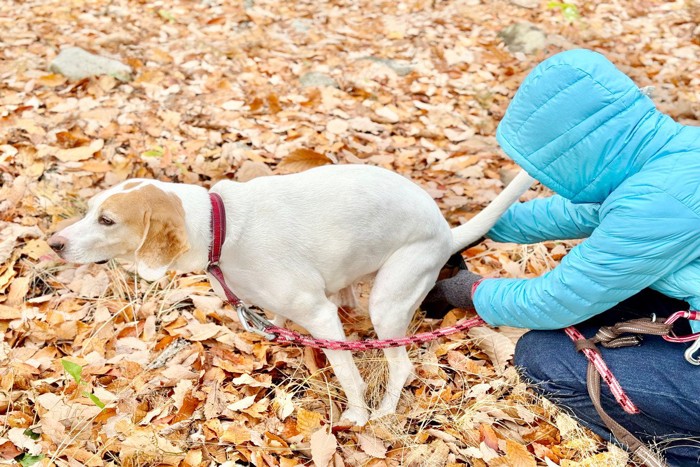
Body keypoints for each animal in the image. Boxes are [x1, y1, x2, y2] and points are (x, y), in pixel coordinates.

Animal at [50, 165, 532, 428]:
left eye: (107, 220)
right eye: (91, 210)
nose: (53, 243)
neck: (221, 226)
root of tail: (446, 231)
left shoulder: (318, 314)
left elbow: (347, 372)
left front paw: (357, 415)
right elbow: (277, 323)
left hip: (390, 299)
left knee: (400, 364)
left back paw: (383, 411)